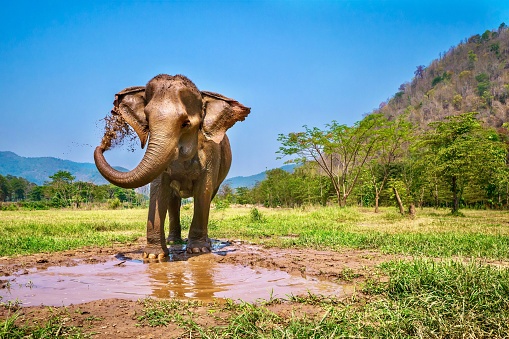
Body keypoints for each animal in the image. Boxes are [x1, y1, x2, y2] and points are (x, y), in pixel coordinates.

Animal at [94, 74, 250, 258]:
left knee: (208, 196)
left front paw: (198, 250)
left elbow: (203, 191)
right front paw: (153, 256)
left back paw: (205, 242)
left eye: (186, 124)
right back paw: (173, 241)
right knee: (173, 201)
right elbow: (159, 189)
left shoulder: (211, 153)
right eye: (147, 121)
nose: (103, 144)